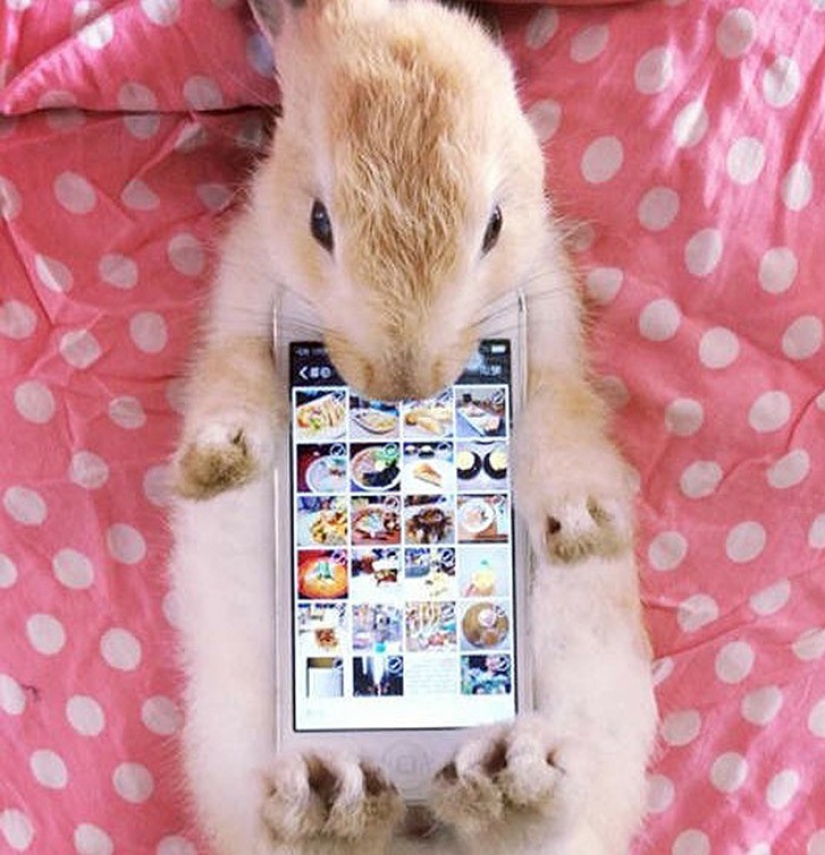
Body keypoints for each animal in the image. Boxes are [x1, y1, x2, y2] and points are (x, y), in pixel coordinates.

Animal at [169, 0, 658, 853]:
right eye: (319, 221)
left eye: (493, 224)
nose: (405, 383)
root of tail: (420, 815)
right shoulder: (248, 322)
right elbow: (235, 389)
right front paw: (218, 461)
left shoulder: (546, 354)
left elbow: (560, 433)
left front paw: (583, 528)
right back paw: (330, 801)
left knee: (548, 820)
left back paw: (502, 785)